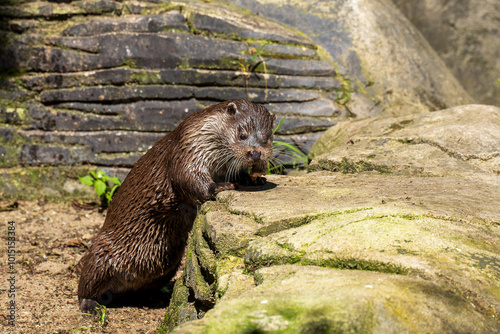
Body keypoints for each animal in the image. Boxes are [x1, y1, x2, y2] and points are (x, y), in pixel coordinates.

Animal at [76, 98, 276, 314]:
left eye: (267, 138)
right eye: (242, 135)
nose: (255, 153)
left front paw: (254, 180)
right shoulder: (189, 147)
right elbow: (187, 177)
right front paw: (220, 186)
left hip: (167, 264)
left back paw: (156, 298)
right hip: (103, 252)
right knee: (87, 280)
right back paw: (90, 305)